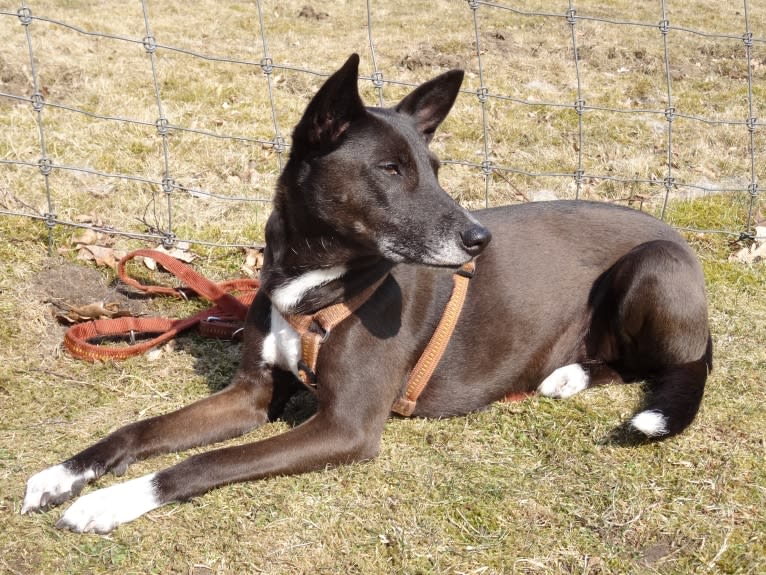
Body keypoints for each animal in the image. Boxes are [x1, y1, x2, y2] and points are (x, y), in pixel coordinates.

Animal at [19, 55, 712, 536]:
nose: (478, 239)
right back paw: (569, 373)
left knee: (667, 365)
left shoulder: (345, 428)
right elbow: (138, 429)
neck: (315, 280)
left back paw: (579, 376)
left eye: (434, 168)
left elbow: (201, 464)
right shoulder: (250, 397)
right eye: (391, 170)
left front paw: (109, 502)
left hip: (653, 266)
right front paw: (65, 475)